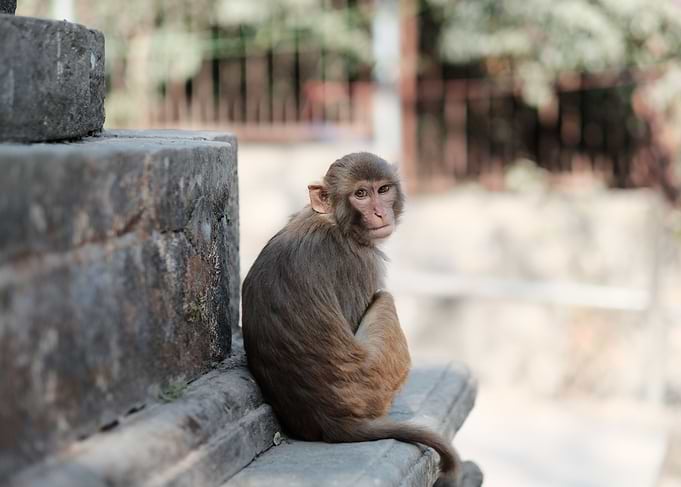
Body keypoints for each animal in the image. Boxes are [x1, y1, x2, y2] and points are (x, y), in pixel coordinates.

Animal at [242, 152, 482, 487]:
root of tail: (332, 420)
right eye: (360, 194)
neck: (333, 221)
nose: (380, 213)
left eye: (383, 190)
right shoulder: (360, 262)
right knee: (385, 300)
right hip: (376, 382)